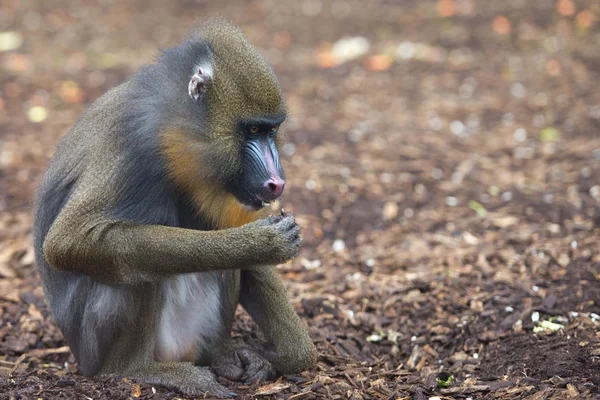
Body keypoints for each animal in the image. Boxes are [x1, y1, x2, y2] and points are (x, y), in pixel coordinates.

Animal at [32, 18, 316, 396]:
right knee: (131, 267)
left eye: (271, 132)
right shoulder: (129, 145)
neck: (175, 134)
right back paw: (141, 368)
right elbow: (68, 241)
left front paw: (285, 356)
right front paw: (258, 243)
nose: (276, 183)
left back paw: (223, 355)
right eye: (252, 130)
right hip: (97, 344)